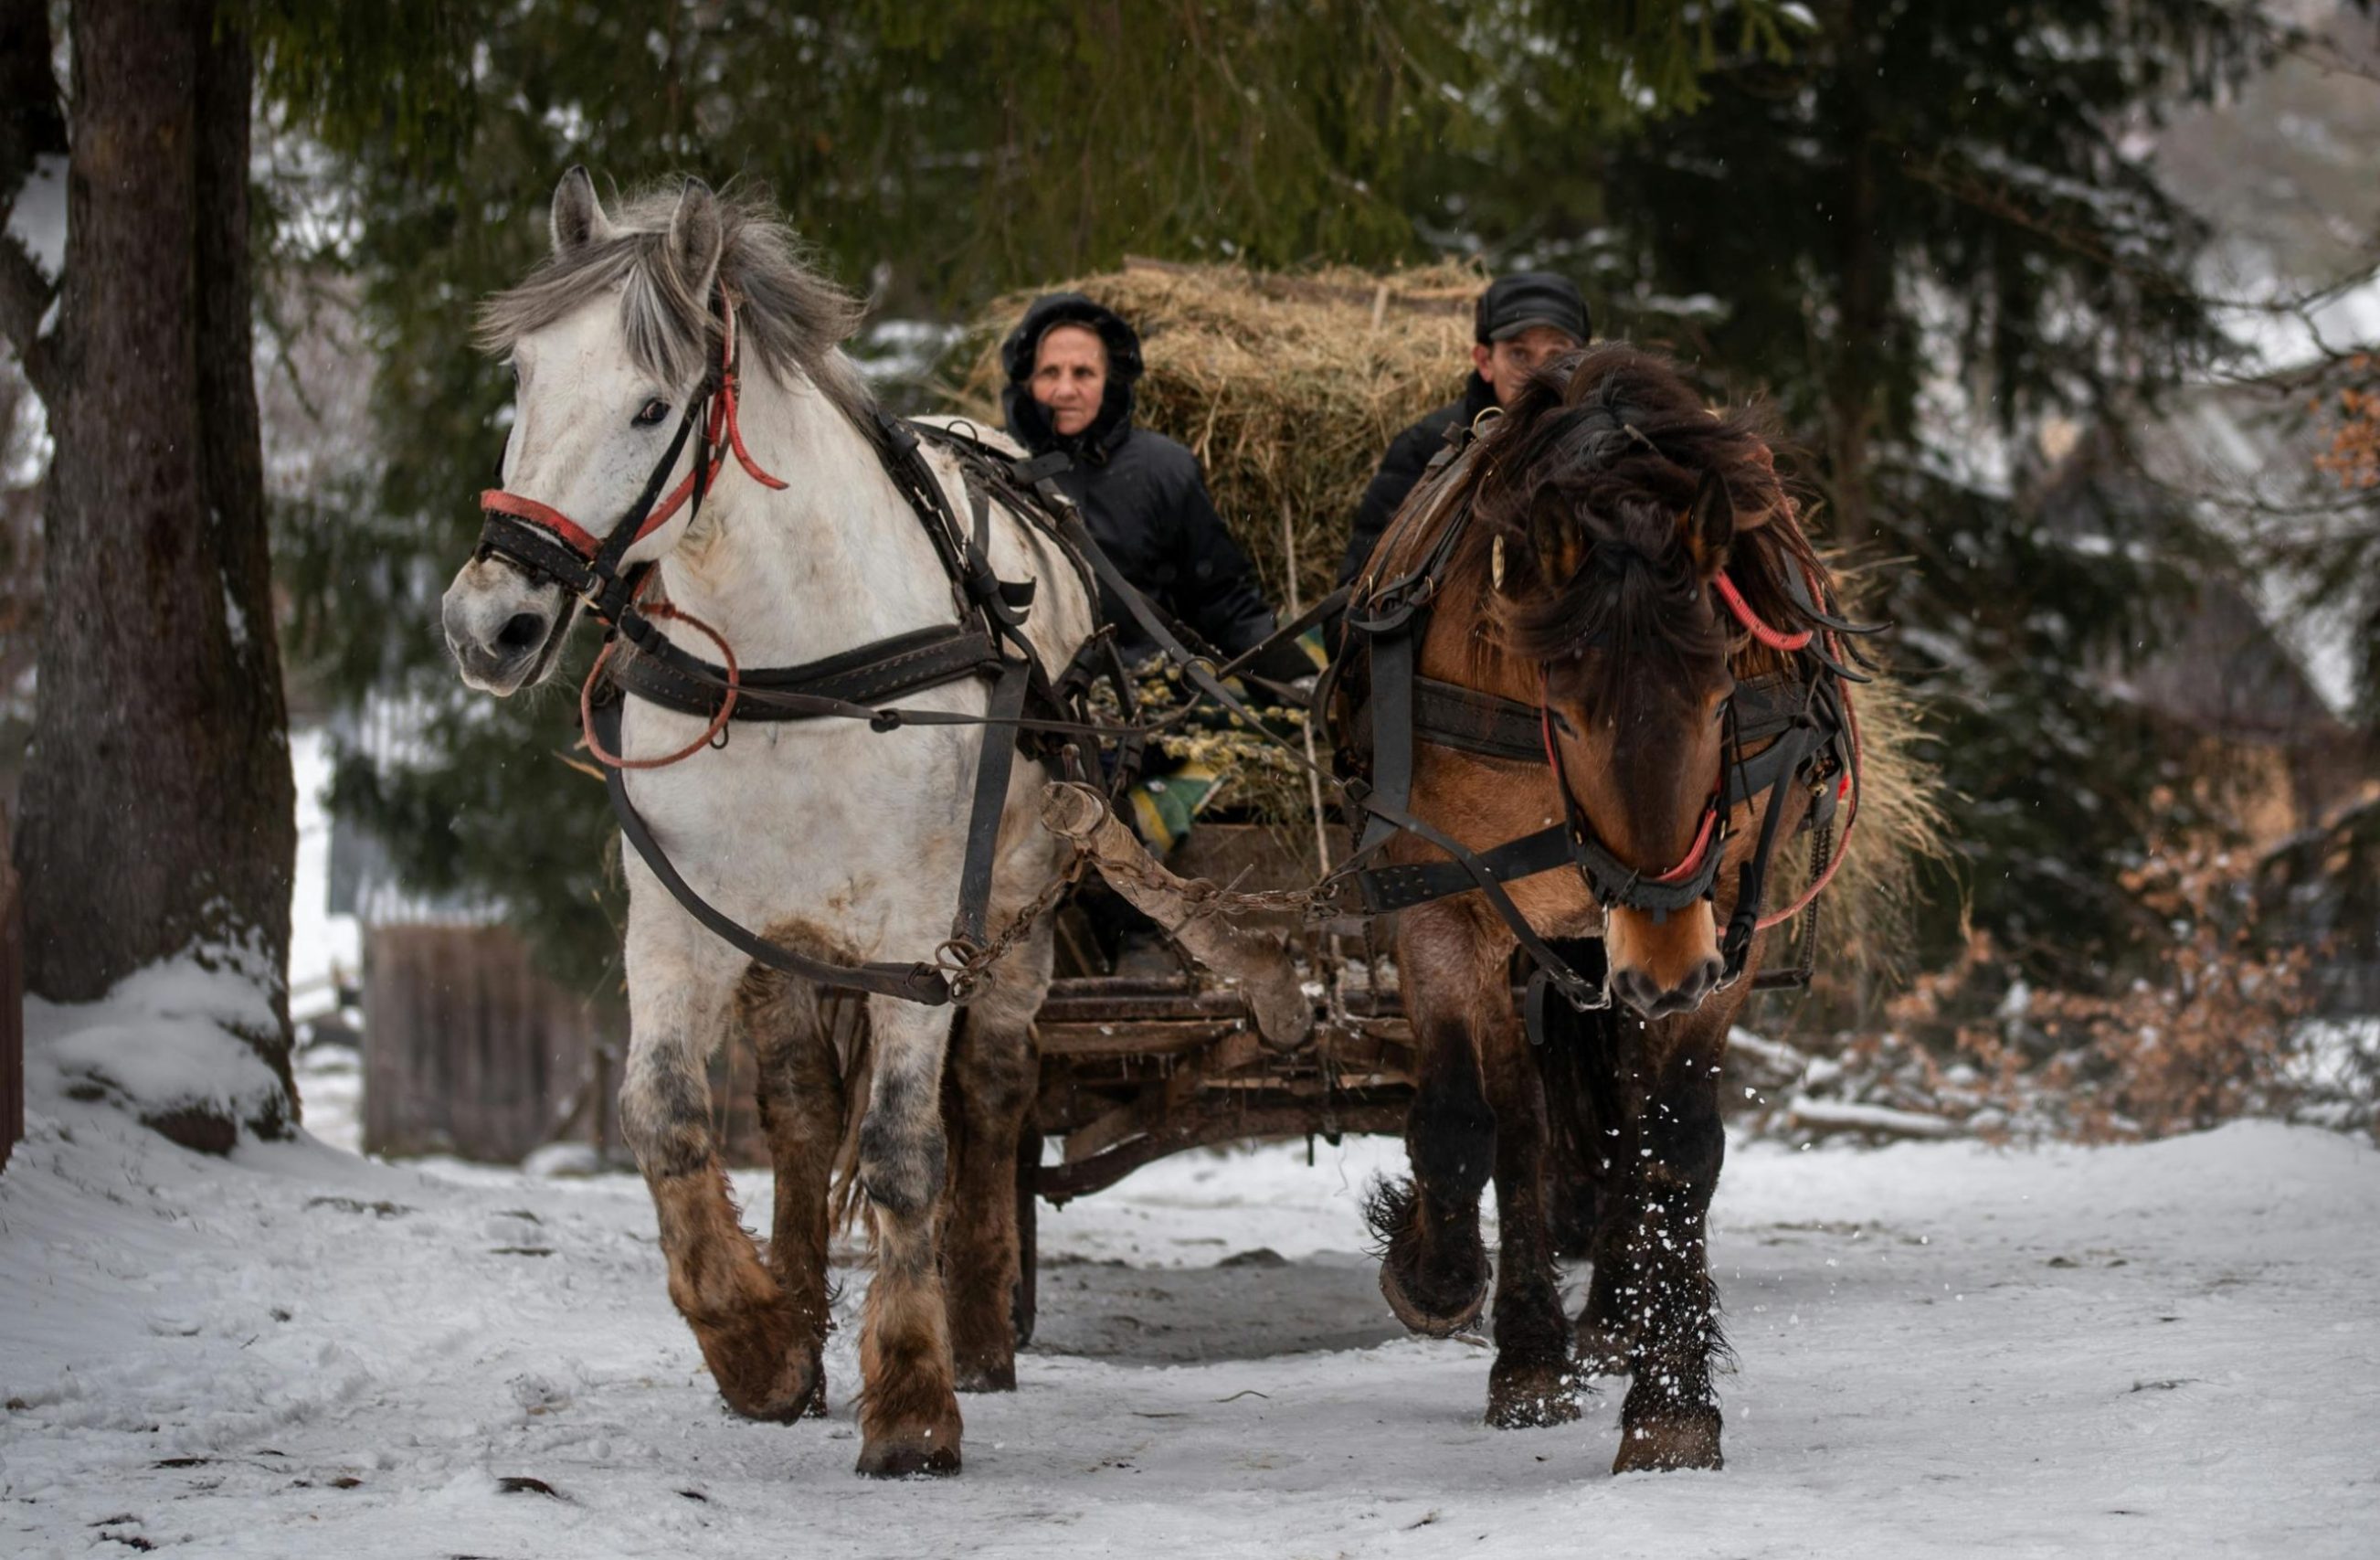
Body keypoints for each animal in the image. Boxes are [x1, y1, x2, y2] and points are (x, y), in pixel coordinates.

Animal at [441, 170, 1097, 1477]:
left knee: (994, 1089)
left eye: (652, 406)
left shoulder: (920, 937)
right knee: (797, 1110)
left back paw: (980, 1322)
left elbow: (904, 1150)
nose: (488, 624)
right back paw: (796, 1300)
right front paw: (754, 1343)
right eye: (525, 380)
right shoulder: (681, 920)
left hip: (1020, 909)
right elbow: (663, 1117)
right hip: (780, 940)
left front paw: (911, 1398)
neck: (798, 664)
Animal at [1334, 342, 1857, 1473]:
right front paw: (1432, 1273)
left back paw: (1613, 1317)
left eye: (1719, 701)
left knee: (1620, 1116)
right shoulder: (1440, 896)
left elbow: (1676, 1145)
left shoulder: (1726, 922)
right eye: (1566, 714)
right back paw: (1530, 1350)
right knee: (1525, 1122)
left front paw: (1670, 1403)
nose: (1661, 967)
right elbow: (1461, 1121)